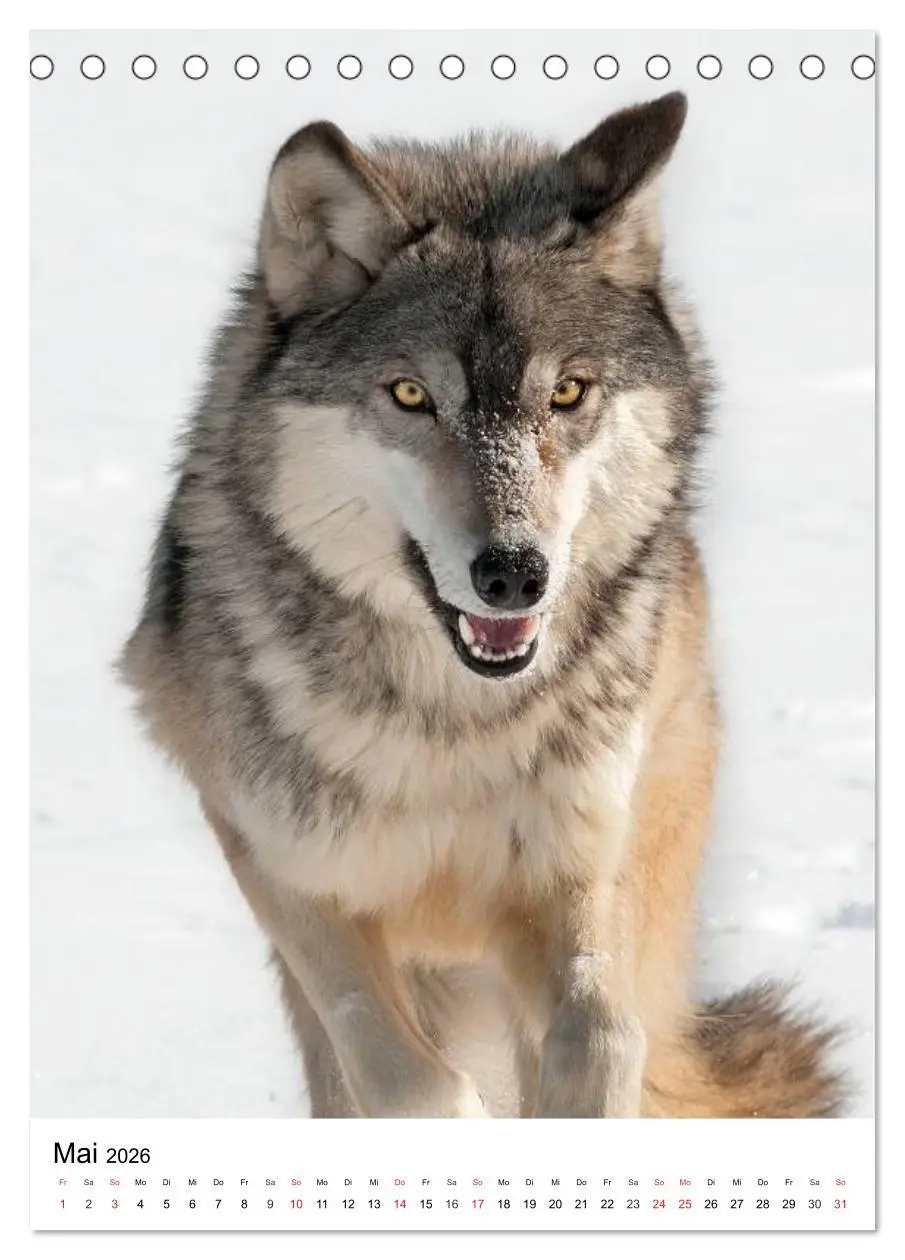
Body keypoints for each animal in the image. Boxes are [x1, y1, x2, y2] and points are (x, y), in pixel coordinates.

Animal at [120, 92, 844, 1118]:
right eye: (410, 394)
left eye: (568, 391)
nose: (513, 573)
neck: (449, 729)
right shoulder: (288, 874)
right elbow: (406, 1078)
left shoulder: (568, 872)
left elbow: (602, 1037)